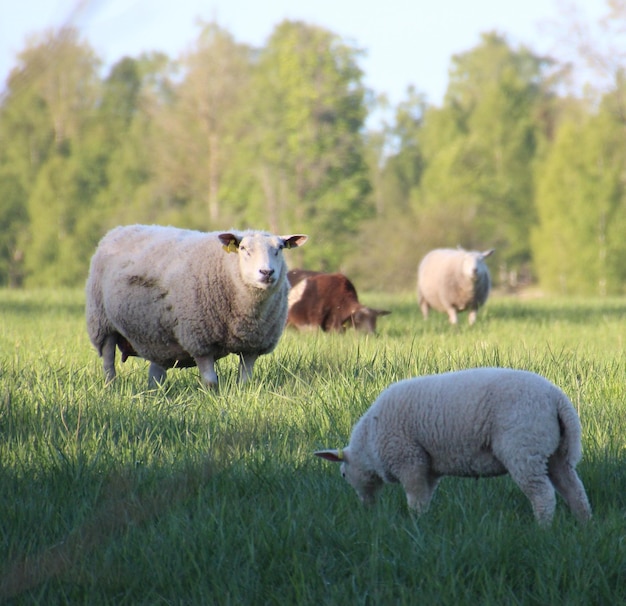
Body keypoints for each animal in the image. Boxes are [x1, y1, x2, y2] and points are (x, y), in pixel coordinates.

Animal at [84, 224, 308, 390]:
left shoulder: (253, 344)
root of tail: (118, 230)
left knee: (156, 372)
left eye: (280, 249)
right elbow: (210, 382)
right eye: (244, 249)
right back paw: (111, 387)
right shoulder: (199, 339)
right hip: (101, 321)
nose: (266, 272)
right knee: (108, 360)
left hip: (157, 335)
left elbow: (245, 381)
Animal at [314, 366, 592, 528]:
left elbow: (414, 497)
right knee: (574, 489)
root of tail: (556, 398)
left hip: (524, 449)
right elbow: (425, 496)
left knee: (543, 494)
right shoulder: (428, 467)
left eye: (343, 474)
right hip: (555, 453)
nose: (366, 508)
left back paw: (542, 528)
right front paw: (423, 521)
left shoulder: (409, 459)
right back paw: (584, 523)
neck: (369, 443)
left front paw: (415, 523)